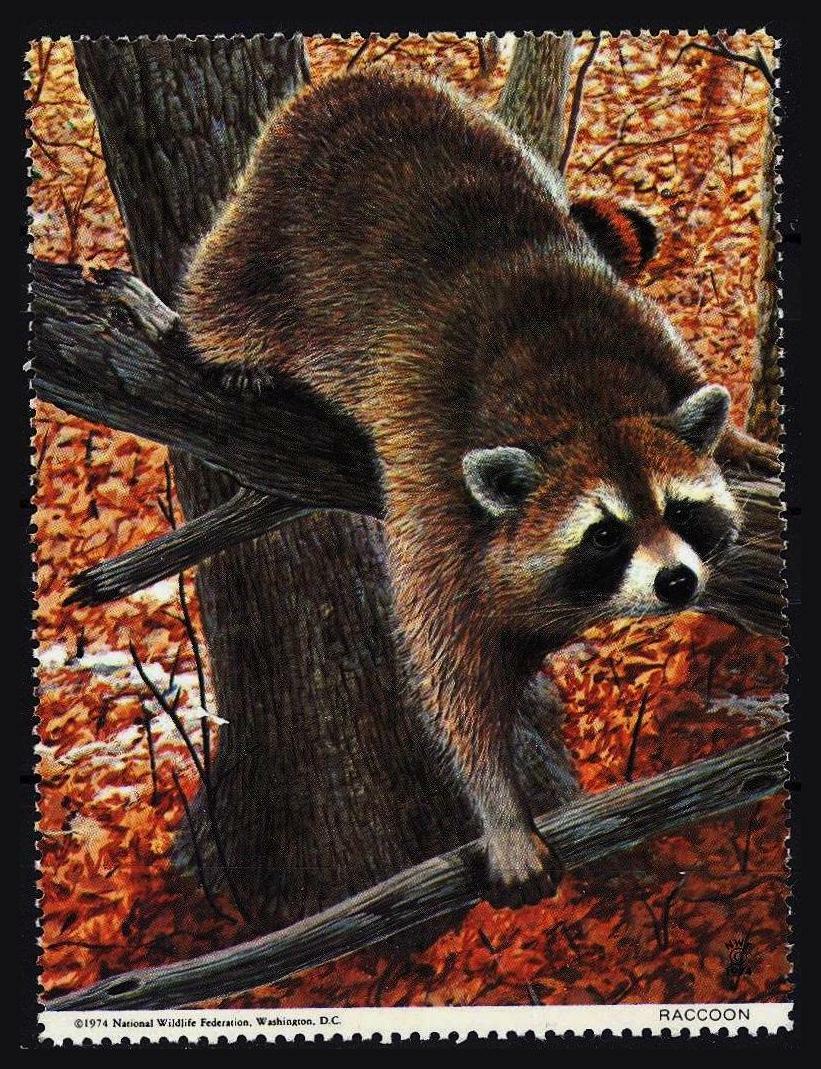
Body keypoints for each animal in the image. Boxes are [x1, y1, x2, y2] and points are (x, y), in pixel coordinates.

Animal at [182, 69, 772, 908]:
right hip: (268, 235)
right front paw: (500, 808)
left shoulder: (650, 339)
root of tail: (355, 82)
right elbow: (452, 665)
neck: (580, 406)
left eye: (679, 509)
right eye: (603, 533)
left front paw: (745, 444)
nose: (676, 582)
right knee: (221, 296)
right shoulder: (433, 480)